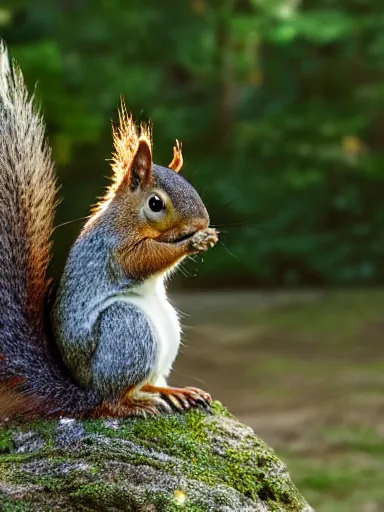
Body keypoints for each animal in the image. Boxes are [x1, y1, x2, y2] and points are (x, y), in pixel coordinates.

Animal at [0, 41, 218, 420]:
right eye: (156, 204)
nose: (200, 224)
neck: (126, 216)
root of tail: (87, 392)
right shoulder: (114, 248)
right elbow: (143, 259)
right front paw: (193, 242)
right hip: (126, 328)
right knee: (113, 399)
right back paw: (134, 404)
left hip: (168, 331)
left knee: (148, 382)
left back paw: (173, 391)